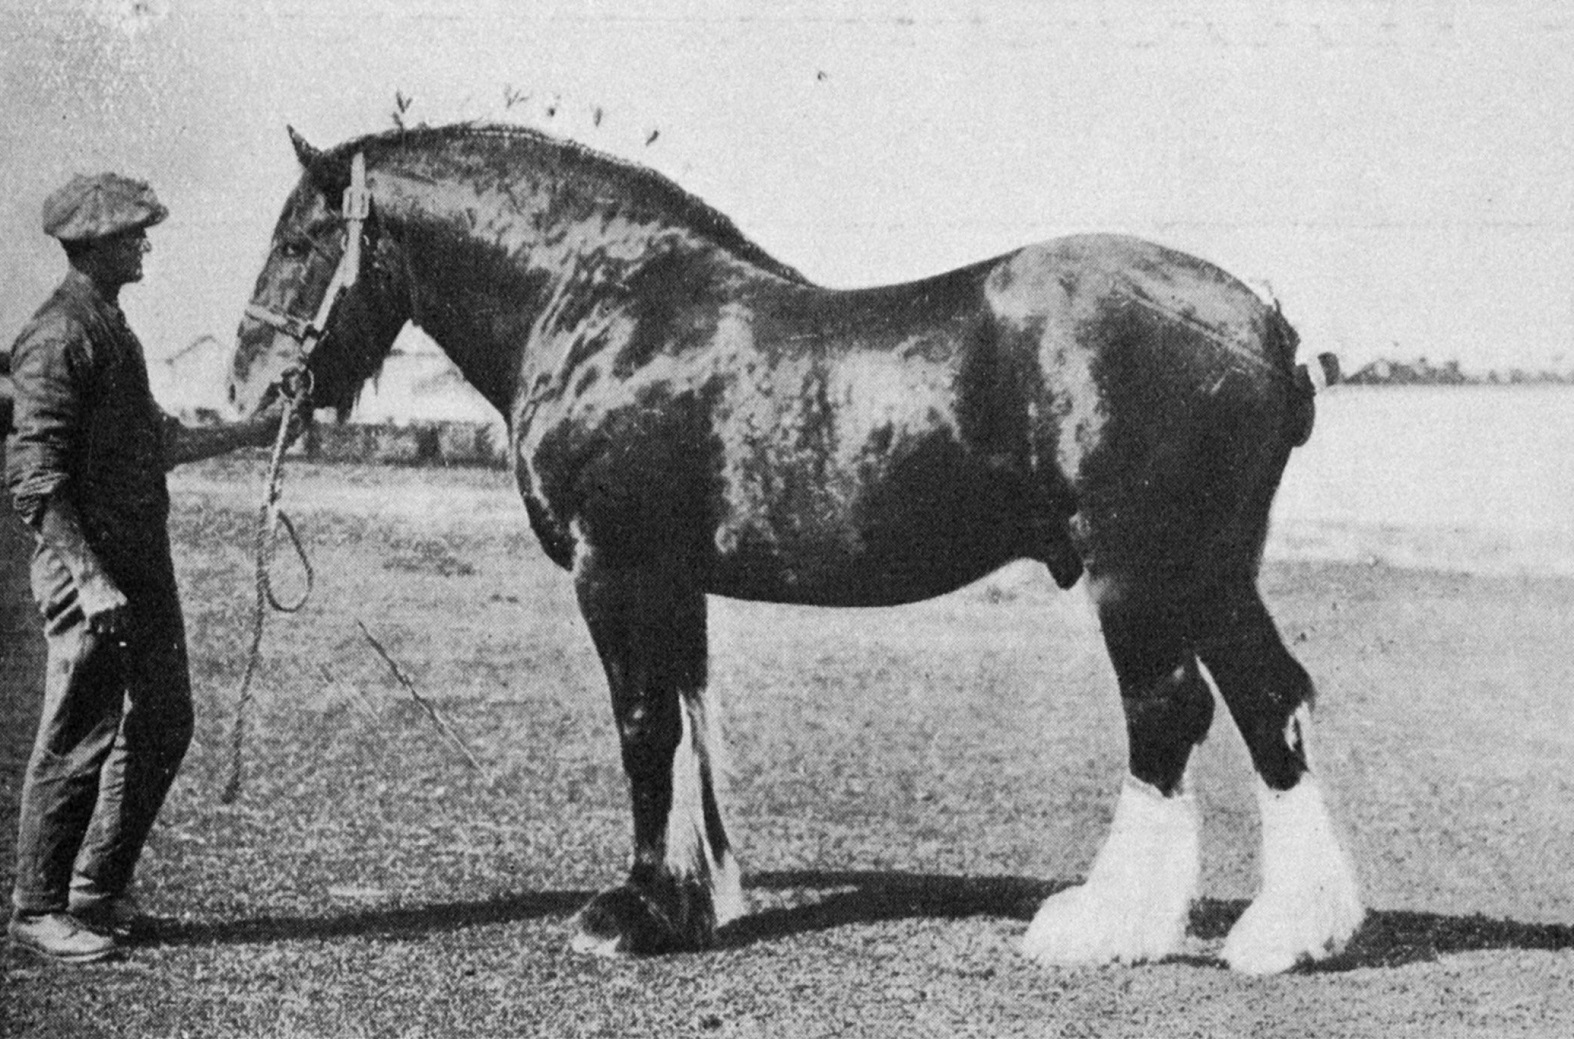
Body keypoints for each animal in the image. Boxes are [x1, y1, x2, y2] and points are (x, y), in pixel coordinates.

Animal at [229, 123, 1366, 976]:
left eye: (298, 242)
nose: (248, 384)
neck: (601, 306)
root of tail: (1263, 326)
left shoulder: (615, 568)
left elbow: (643, 726)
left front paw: (629, 912)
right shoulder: (672, 581)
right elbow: (688, 724)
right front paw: (694, 901)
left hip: (1138, 570)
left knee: (1165, 714)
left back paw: (1105, 923)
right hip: (1212, 572)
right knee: (1269, 701)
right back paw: (1290, 932)